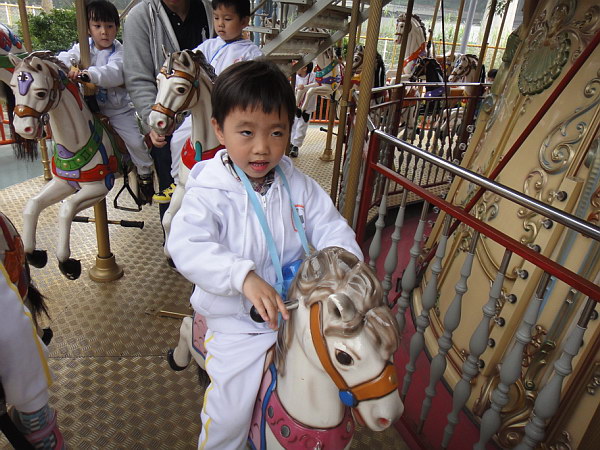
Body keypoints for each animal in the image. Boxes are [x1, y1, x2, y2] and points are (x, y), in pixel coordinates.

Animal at [7, 52, 123, 280]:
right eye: (13, 88)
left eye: (41, 93)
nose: (22, 128)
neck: (74, 144)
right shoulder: (64, 182)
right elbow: (32, 205)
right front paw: (33, 254)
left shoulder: (99, 187)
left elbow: (67, 209)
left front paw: (66, 262)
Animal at [147, 49, 221, 260]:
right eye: (158, 81)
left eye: (181, 89)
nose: (156, 122)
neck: (202, 150)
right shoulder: (182, 187)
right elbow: (168, 218)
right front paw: (169, 252)